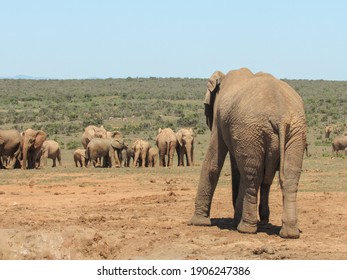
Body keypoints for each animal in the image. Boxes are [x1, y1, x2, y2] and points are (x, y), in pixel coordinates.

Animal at [190, 68, 308, 238]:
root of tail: (281, 116)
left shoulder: (220, 119)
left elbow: (213, 162)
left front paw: (198, 222)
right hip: (294, 131)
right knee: (289, 176)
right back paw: (290, 233)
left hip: (252, 130)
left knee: (253, 176)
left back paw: (245, 228)